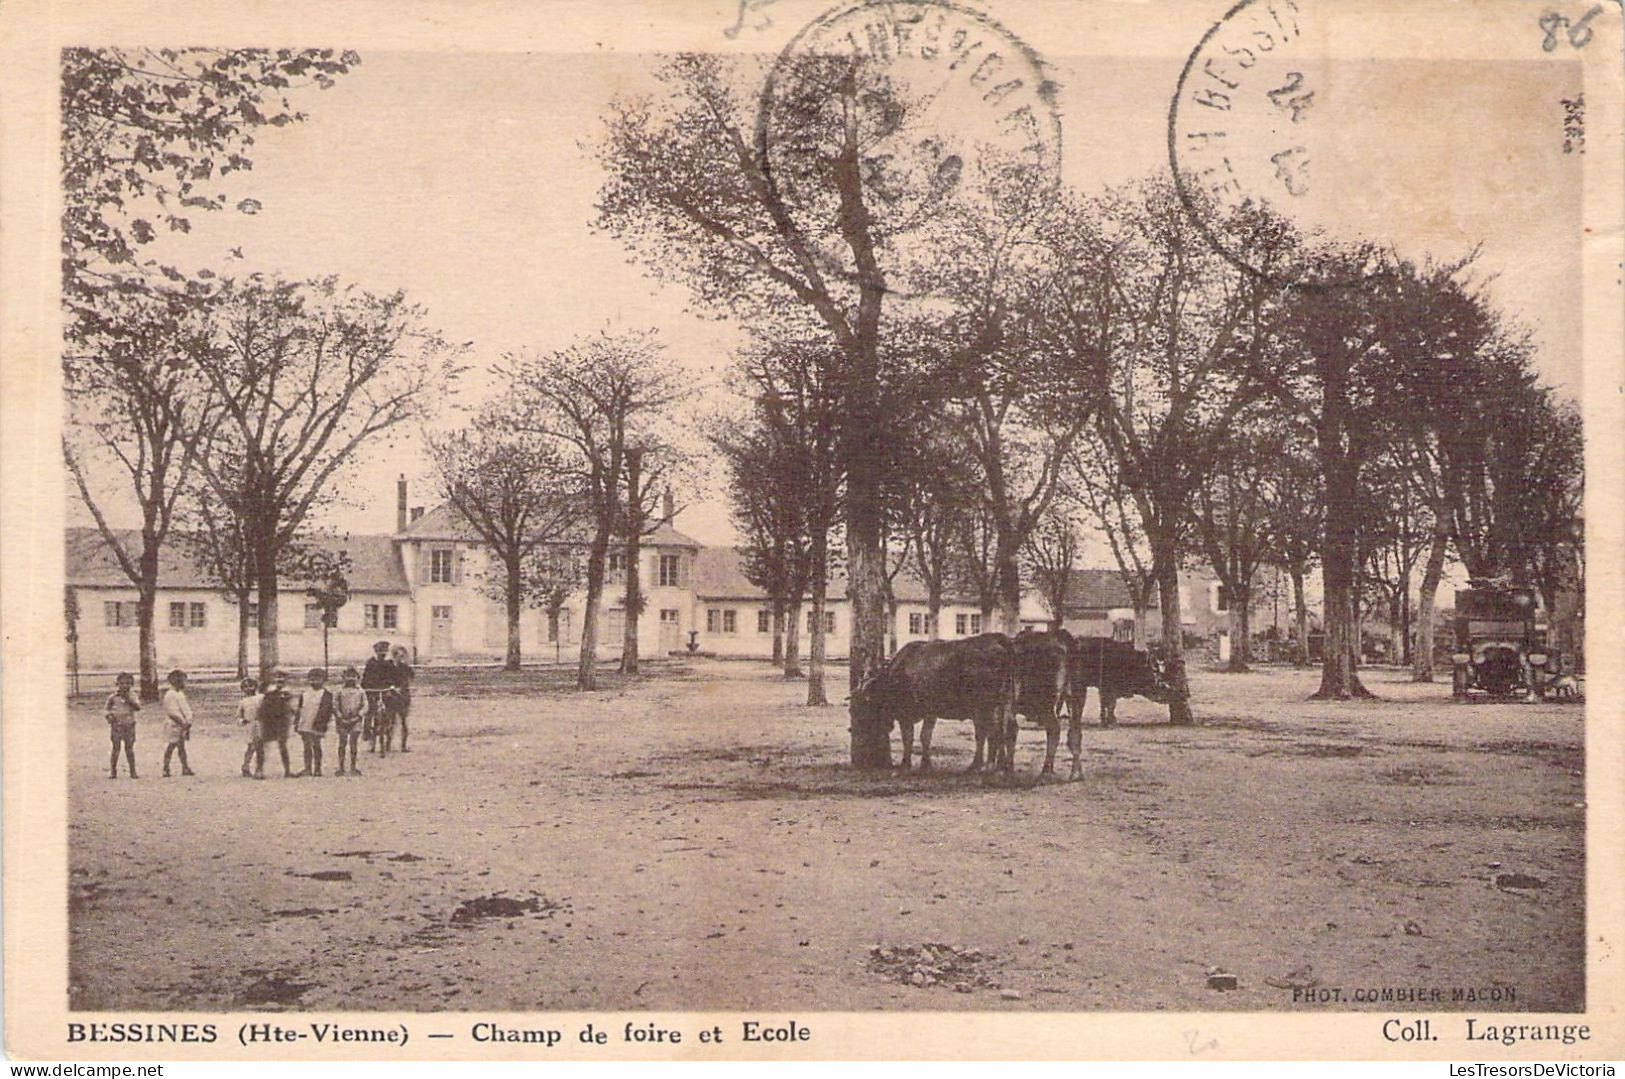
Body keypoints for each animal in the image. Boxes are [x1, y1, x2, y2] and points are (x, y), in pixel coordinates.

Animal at [851, 633, 1014, 776]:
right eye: (852, 709)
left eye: (863, 707)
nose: (853, 730)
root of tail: (995, 639)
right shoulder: (924, 715)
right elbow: (918, 737)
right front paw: (921, 765)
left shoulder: (918, 714)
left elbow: (915, 737)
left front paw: (911, 766)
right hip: (1001, 705)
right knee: (1001, 731)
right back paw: (999, 767)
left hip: (982, 707)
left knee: (985, 733)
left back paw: (978, 767)